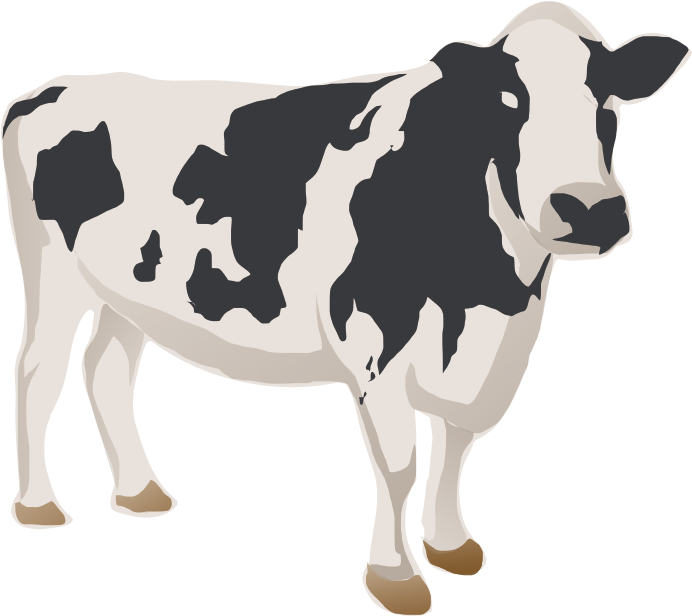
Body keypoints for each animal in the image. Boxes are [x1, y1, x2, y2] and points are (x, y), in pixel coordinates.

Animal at [3, 2, 688, 614]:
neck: (488, 289)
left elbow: (458, 444)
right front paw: (396, 577)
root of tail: (53, 88)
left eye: (609, 102)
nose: (589, 208)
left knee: (107, 370)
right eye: (508, 101)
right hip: (53, 275)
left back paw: (141, 492)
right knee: (39, 372)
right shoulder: (376, 348)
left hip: (127, 295)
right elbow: (399, 463)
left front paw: (451, 546)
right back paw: (39, 505)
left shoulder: (486, 360)